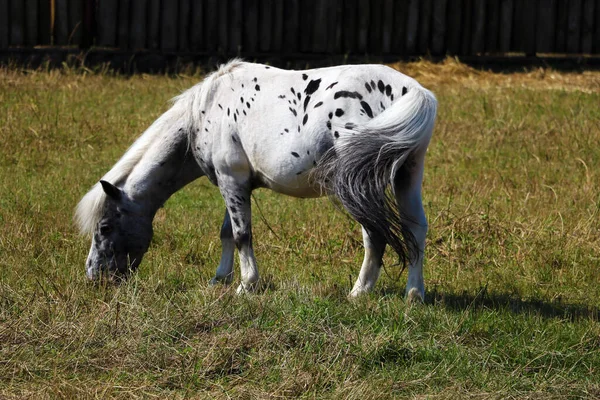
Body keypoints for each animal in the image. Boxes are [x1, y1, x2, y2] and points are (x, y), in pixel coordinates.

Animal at [75, 59, 436, 302]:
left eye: (104, 227)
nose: (94, 277)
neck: (204, 110)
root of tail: (414, 92)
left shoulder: (231, 180)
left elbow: (241, 235)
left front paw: (246, 285)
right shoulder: (233, 183)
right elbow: (226, 233)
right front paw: (219, 279)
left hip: (358, 187)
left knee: (374, 235)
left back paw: (359, 292)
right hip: (406, 175)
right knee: (415, 227)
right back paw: (413, 294)